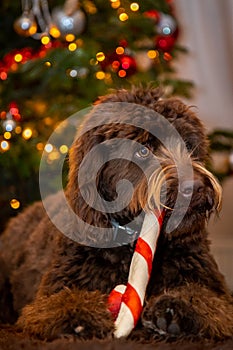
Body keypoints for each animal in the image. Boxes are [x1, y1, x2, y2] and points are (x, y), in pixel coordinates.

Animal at [0, 87, 233, 342]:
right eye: (143, 150)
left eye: (189, 145)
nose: (197, 186)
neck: (129, 241)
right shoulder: (51, 293)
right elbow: (61, 302)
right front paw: (81, 316)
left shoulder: (215, 291)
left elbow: (205, 299)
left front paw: (175, 309)